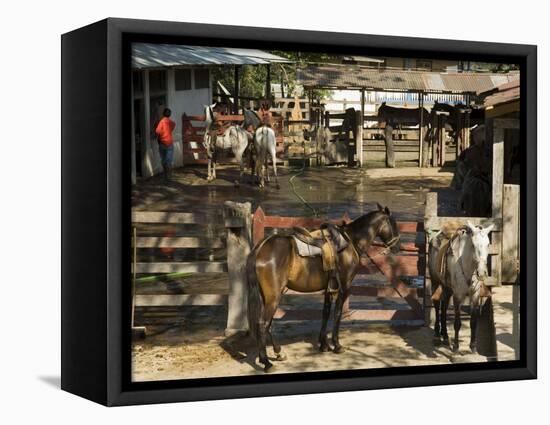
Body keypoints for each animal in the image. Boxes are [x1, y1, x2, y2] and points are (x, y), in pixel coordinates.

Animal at [247, 204, 402, 370]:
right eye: (393, 223)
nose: (398, 246)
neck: (350, 242)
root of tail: (261, 247)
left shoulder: (329, 288)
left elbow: (325, 313)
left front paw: (324, 344)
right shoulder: (344, 287)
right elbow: (337, 314)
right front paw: (337, 345)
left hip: (268, 296)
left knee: (268, 324)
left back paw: (278, 353)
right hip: (274, 296)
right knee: (263, 324)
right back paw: (266, 361)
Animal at [432, 220, 496, 352]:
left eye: (488, 244)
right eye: (473, 245)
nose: (481, 273)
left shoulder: (475, 295)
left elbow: (473, 321)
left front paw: (473, 346)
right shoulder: (458, 295)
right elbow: (457, 322)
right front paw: (456, 346)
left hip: (447, 288)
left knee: (444, 306)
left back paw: (445, 336)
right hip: (434, 281)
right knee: (436, 305)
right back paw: (436, 335)